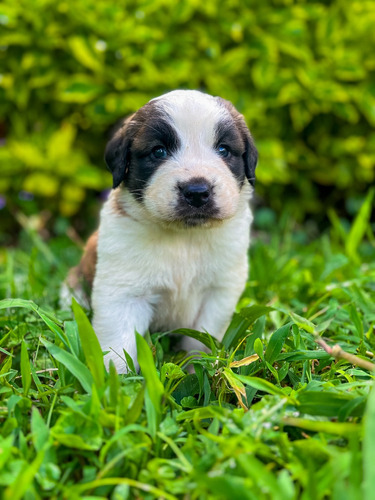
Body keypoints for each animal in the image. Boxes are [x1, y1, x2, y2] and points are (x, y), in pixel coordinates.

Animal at [61, 89, 260, 372]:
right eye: (159, 151)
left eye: (224, 149)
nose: (197, 191)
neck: (184, 237)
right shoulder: (123, 292)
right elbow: (119, 342)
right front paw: (116, 379)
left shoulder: (220, 291)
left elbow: (203, 337)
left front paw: (198, 370)